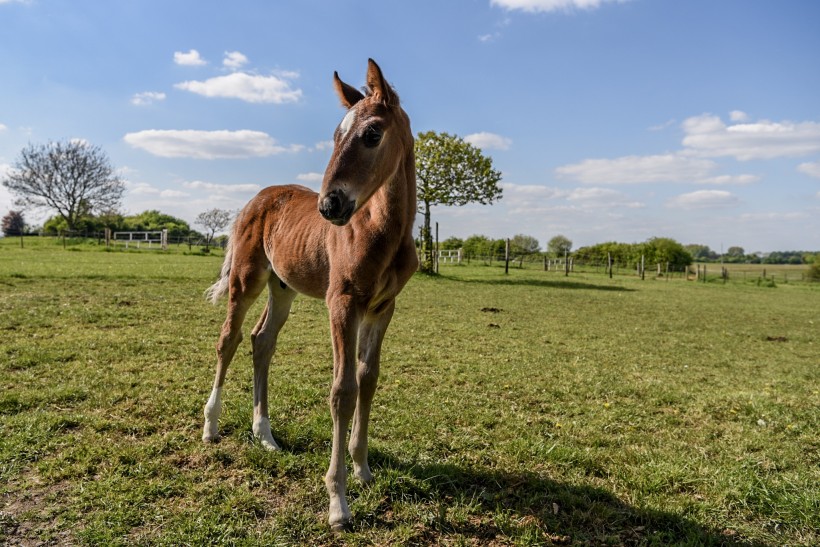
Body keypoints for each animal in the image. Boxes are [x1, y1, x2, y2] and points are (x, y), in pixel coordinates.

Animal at [199, 58, 416, 532]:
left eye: (372, 134)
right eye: (335, 136)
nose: (329, 205)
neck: (382, 232)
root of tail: (256, 198)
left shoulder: (383, 308)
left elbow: (368, 379)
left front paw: (363, 469)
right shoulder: (343, 303)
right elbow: (343, 390)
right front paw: (338, 502)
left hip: (283, 289)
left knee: (262, 341)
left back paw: (265, 435)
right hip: (247, 279)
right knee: (229, 339)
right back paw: (210, 426)